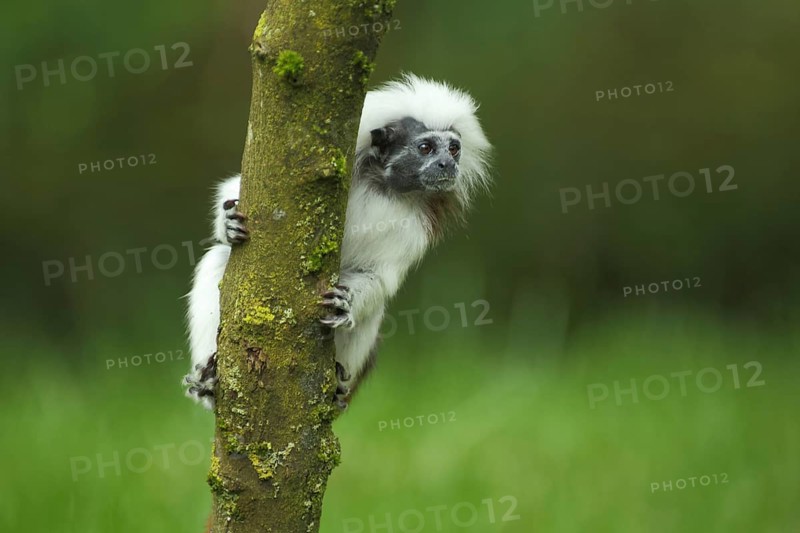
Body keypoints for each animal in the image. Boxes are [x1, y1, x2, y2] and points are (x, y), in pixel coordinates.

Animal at [183, 74, 492, 410]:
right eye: (426, 148)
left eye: (454, 149)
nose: (448, 165)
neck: (382, 187)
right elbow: (235, 190)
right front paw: (228, 223)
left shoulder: (410, 227)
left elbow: (378, 278)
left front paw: (347, 304)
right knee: (217, 260)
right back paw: (209, 381)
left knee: (375, 308)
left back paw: (337, 383)